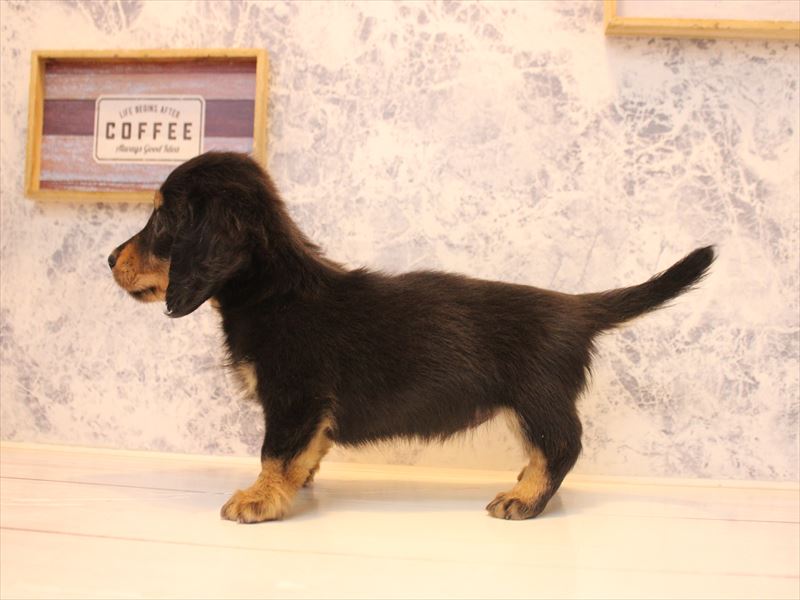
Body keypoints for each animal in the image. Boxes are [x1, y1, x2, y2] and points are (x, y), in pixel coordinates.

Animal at [109, 151, 714, 522]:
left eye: (162, 220)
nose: (109, 259)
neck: (276, 289)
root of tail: (575, 307)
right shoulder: (309, 410)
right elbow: (305, 452)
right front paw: (293, 486)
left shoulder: (293, 397)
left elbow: (274, 453)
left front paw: (259, 499)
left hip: (538, 400)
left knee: (563, 446)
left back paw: (523, 498)